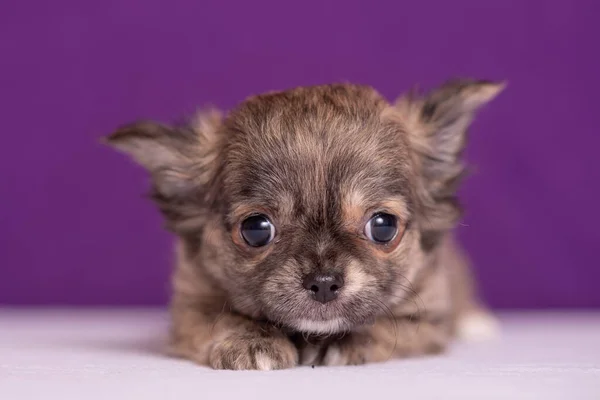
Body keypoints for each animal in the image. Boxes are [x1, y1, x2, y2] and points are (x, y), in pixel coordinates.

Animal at [106, 79, 502, 370]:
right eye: (256, 229)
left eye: (383, 226)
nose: (324, 282)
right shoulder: (189, 309)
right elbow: (221, 318)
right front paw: (251, 340)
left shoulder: (428, 320)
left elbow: (388, 327)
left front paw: (344, 342)